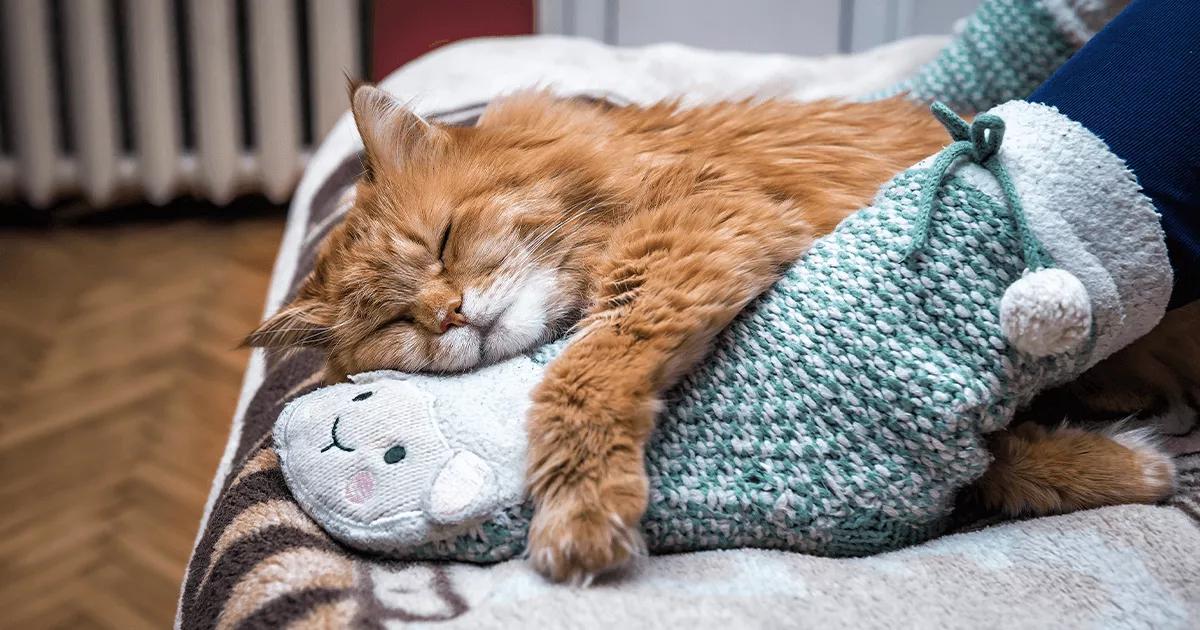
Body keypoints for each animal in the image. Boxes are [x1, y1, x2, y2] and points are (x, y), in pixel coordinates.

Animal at [248, 85, 1176, 583]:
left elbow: (579, 376)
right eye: (395, 321)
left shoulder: (697, 230)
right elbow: (989, 465)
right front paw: (1133, 464)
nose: (447, 314)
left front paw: (578, 512)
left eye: (442, 241)